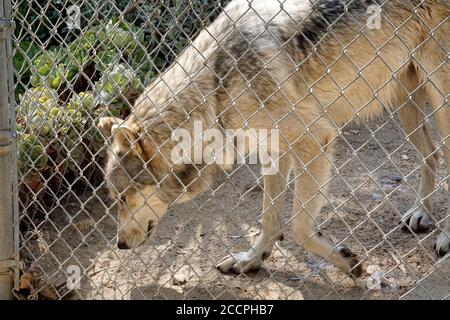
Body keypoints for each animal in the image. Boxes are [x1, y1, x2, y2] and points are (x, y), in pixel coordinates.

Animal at [98, 0, 450, 276]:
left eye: (122, 198)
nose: (119, 244)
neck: (215, 90)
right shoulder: (275, 151)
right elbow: (269, 218)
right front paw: (251, 260)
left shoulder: (315, 141)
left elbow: (298, 227)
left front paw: (347, 263)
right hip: (405, 103)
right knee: (431, 154)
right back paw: (422, 213)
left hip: (440, 103)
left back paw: (445, 237)